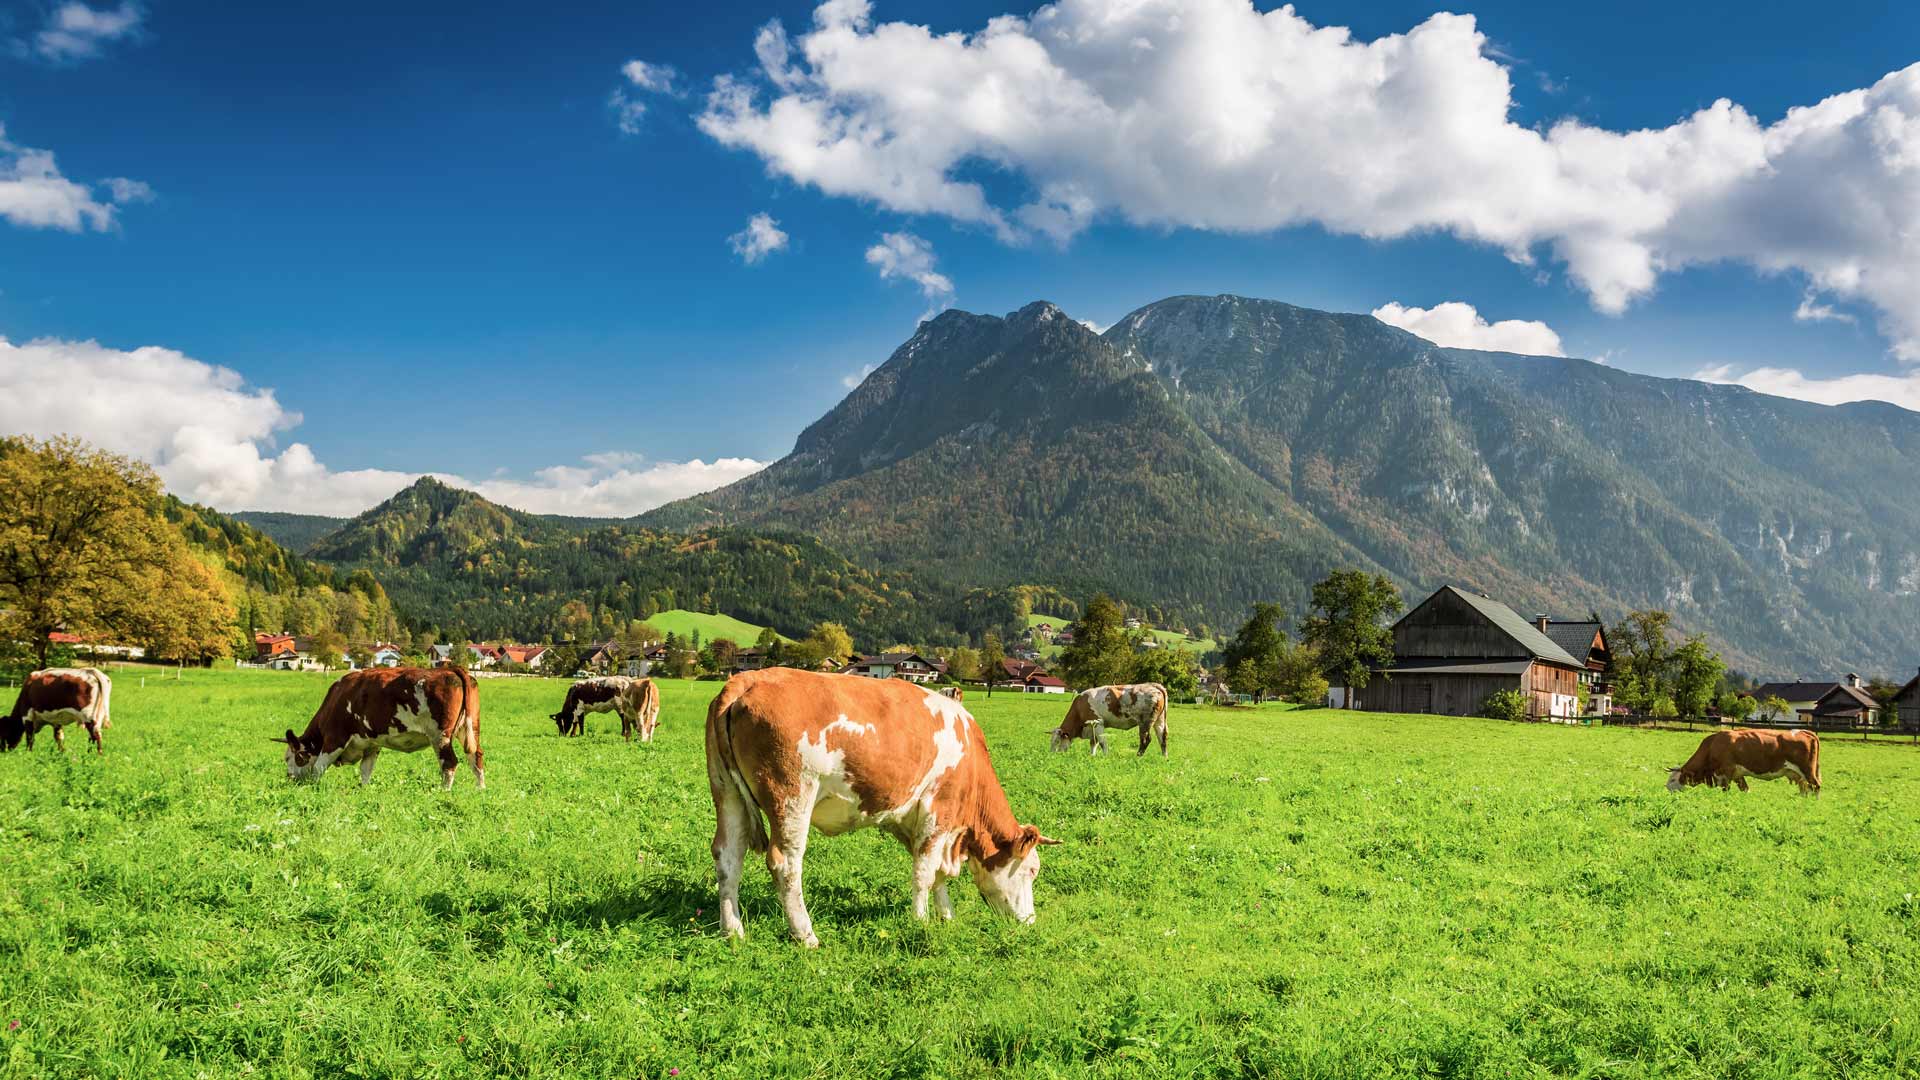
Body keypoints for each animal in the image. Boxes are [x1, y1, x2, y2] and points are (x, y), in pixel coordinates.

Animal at [278, 661, 487, 787]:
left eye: (290, 758)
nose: (289, 778)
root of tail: (450, 669)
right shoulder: (371, 744)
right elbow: (365, 770)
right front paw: (363, 790)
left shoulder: (335, 738)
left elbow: (318, 768)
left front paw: (314, 788)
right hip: (470, 727)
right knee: (475, 756)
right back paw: (480, 790)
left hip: (440, 735)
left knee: (449, 763)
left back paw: (444, 792)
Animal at [710, 664, 1067, 941]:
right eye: (1032, 870)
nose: (1029, 923)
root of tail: (748, 679)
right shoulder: (939, 810)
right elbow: (925, 873)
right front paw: (921, 922)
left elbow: (937, 874)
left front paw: (946, 917)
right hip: (792, 795)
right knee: (785, 863)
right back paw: (805, 935)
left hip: (727, 793)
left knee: (728, 856)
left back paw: (733, 931)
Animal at [1658, 722, 1820, 791]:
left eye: (1673, 779)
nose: (1666, 789)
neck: (1713, 745)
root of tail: (1805, 731)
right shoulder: (1737, 774)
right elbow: (1745, 789)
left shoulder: (1725, 773)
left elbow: (1725, 790)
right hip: (1799, 776)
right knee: (1806, 790)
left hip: (1808, 772)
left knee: (1816, 787)